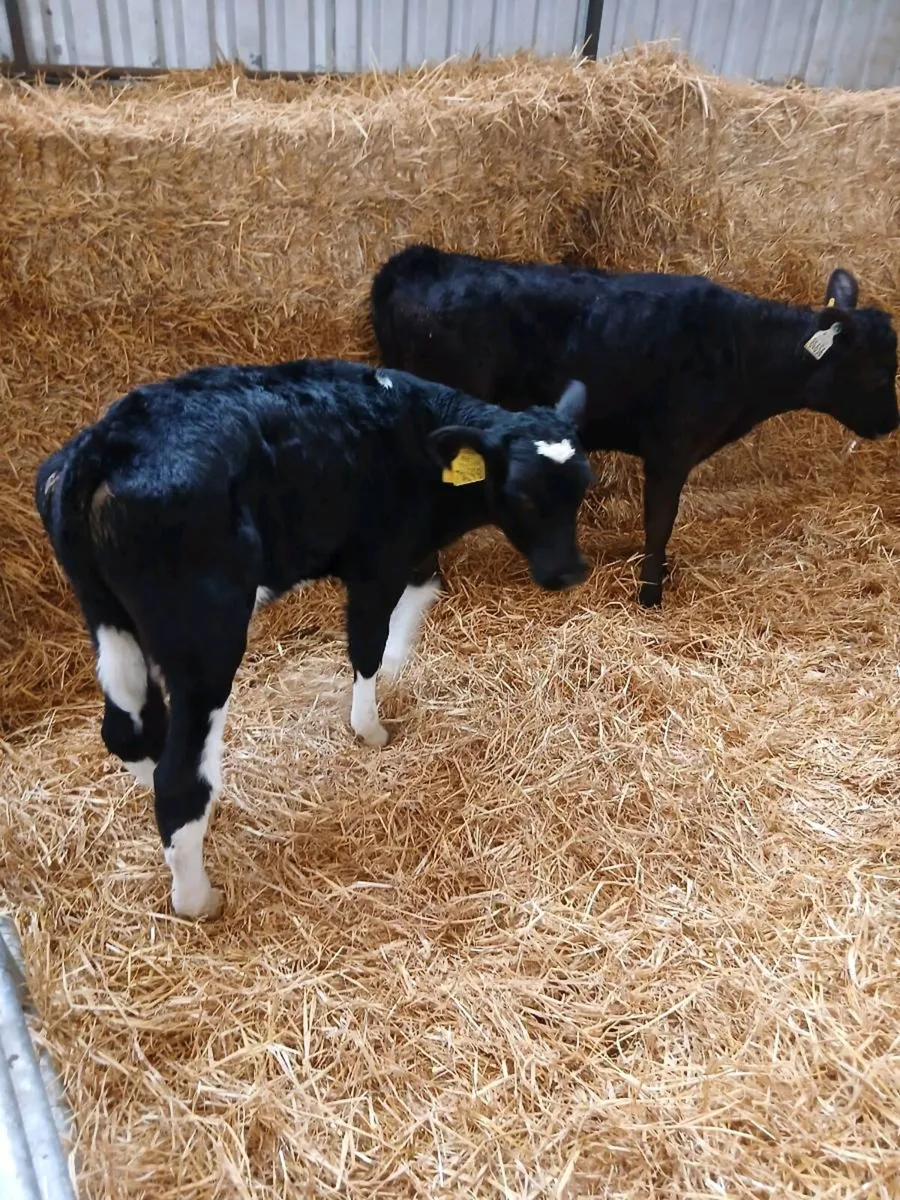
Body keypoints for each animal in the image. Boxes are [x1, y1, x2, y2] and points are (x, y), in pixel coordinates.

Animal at [35, 359, 593, 920]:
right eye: (523, 494)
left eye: (582, 488)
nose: (569, 572)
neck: (417, 439)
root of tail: (101, 446)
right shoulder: (376, 563)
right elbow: (366, 644)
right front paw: (371, 729)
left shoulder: (411, 552)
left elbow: (421, 595)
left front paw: (395, 673)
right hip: (203, 637)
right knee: (178, 778)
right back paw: (198, 898)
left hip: (109, 618)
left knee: (130, 732)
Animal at [371, 244, 899, 607]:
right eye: (878, 373)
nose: (891, 422)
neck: (742, 351)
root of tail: (418, 260)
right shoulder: (670, 449)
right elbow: (659, 522)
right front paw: (650, 595)